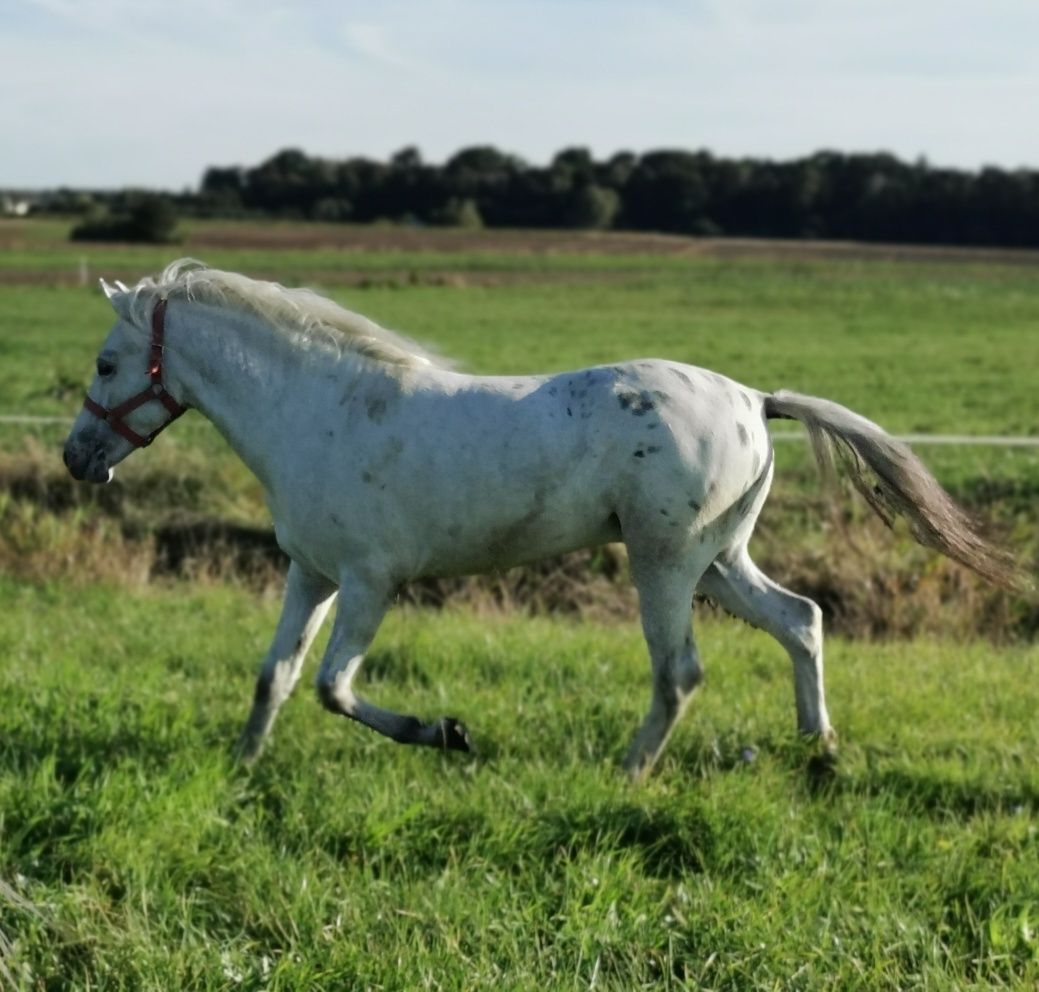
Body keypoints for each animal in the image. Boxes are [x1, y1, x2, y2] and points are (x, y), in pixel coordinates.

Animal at [58, 259, 1022, 781]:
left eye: (106, 364)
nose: (75, 458)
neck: (322, 409)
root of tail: (754, 398)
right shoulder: (313, 573)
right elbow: (275, 678)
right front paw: (242, 769)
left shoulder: (370, 581)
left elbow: (334, 687)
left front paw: (446, 734)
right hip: (718, 561)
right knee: (802, 620)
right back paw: (817, 747)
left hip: (665, 562)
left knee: (681, 672)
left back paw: (629, 772)